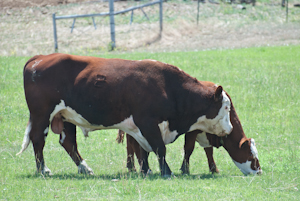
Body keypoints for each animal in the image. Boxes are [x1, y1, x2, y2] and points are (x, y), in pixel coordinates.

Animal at [17, 53, 234, 176]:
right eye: (226, 108)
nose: (230, 128)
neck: (168, 87)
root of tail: (39, 58)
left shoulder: (141, 128)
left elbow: (144, 151)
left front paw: (146, 171)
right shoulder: (147, 123)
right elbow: (159, 148)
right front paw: (166, 172)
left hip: (65, 116)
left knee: (68, 142)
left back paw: (84, 168)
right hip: (42, 114)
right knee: (38, 139)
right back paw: (43, 169)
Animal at [116, 98, 262, 174]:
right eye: (250, 155)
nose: (259, 171)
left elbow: (209, 151)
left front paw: (213, 169)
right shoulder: (192, 131)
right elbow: (189, 149)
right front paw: (185, 169)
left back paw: (133, 167)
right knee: (133, 145)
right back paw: (137, 167)